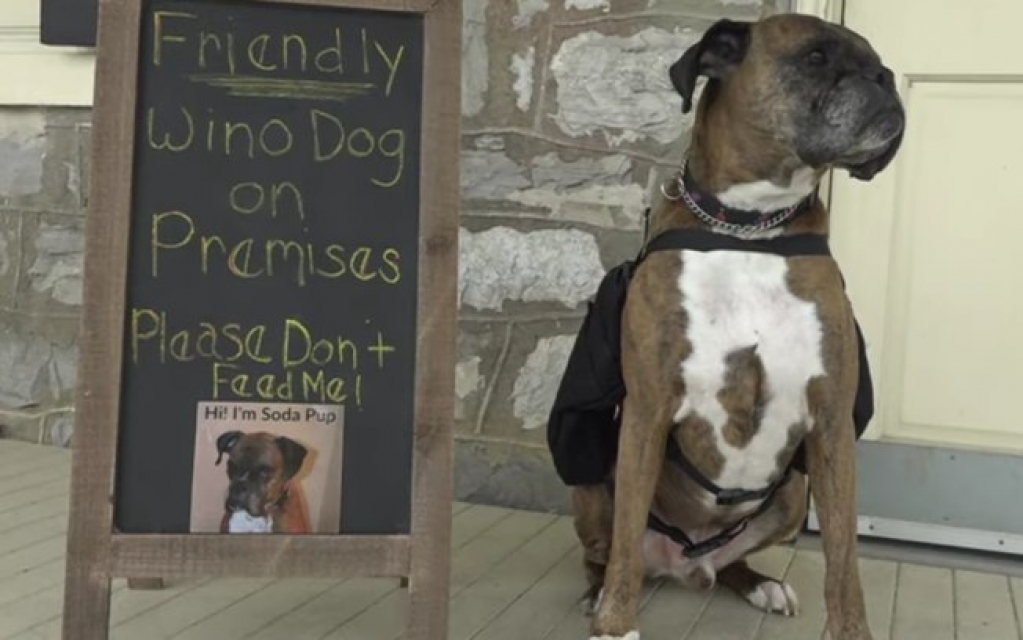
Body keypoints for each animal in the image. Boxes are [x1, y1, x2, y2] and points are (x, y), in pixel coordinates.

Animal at [552, 11, 904, 637]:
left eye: (879, 64)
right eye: (816, 57)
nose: (885, 80)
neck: (749, 228)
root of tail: (684, 563)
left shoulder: (831, 423)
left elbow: (843, 562)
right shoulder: (646, 411)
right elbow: (624, 545)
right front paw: (615, 624)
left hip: (793, 494)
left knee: (731, 563)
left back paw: (761, 584)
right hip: (591, 478)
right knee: (604, 552)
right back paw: (597, 595)